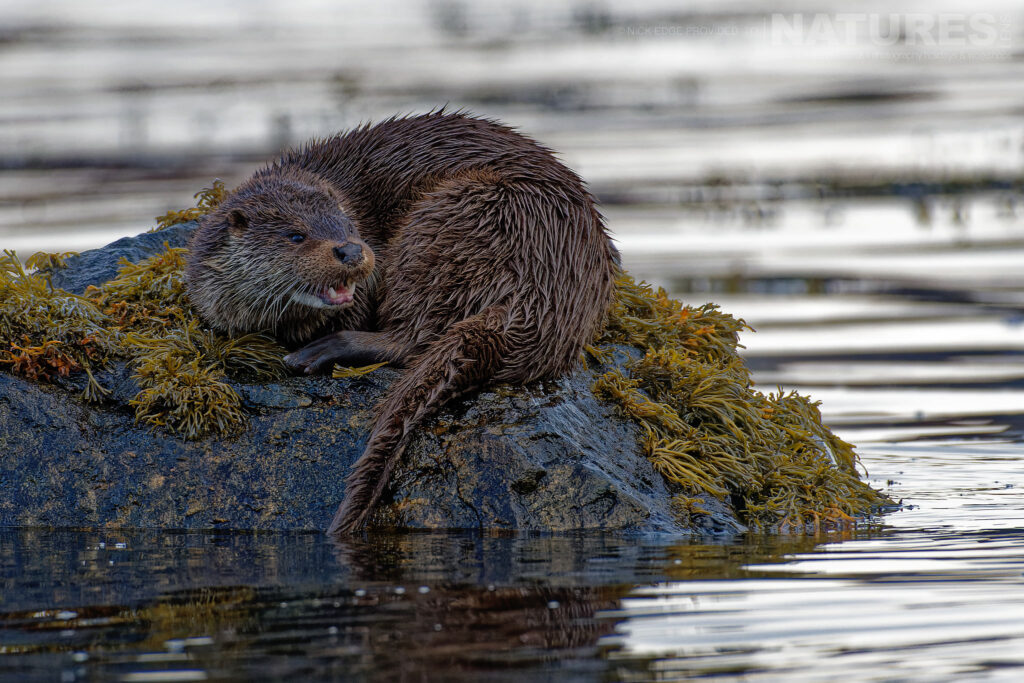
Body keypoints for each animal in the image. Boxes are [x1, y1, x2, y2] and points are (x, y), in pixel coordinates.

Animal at [186, 111, 614, 532]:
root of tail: (548, 289)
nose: (350, 249)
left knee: (413, 336)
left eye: (349, 227)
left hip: (460, 220)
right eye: (295, 235)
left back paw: (320, 352)